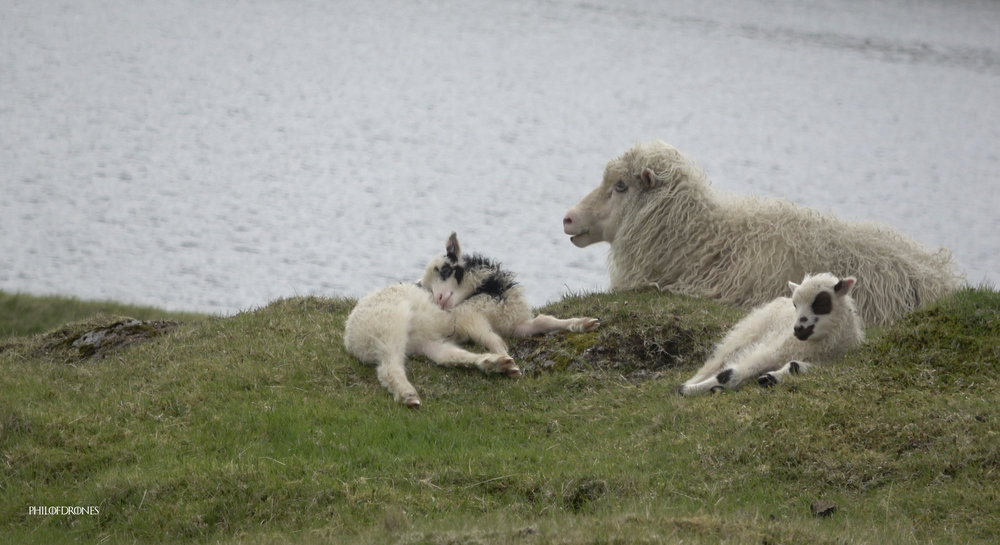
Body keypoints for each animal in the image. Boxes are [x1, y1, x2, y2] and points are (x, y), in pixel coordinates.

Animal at [344, 232, 596, 406]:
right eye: (428, 287)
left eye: (445, 269)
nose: (439, 299)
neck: (485, 290)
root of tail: (351, 338)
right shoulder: (469, 317)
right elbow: (494, 340)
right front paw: (509, 358)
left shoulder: (514, 323)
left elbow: (544, 321)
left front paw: (583, 324)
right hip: (389, 327)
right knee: (389, 368)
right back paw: (409, 395)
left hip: (426, 342)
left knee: (448, 357)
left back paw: (494, 364)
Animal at [680, 272, 868, 396]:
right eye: (795, 305)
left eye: (821, 303)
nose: (798, 329)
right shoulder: (770, 351)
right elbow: (730, 374)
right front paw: (686, 390)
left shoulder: (827, 363)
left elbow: (794, 367)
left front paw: (769, 377)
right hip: (744, 335)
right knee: (715, 362)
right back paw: (694, 382)